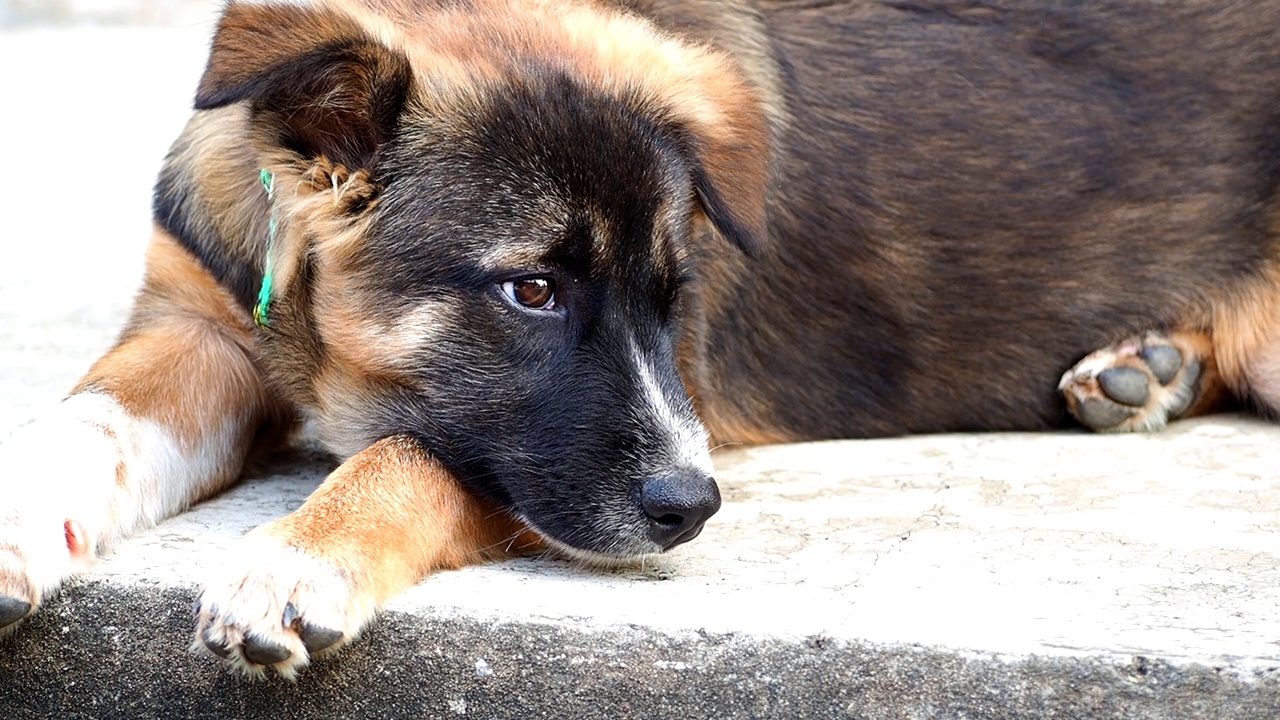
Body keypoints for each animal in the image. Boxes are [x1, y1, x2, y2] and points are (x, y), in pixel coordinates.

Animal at [2, 0, 1280, 676]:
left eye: (672, 294)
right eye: (530, 291)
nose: (692, 510)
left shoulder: (598, 435)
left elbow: (415, 451)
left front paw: (296, 559)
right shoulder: (201, 325)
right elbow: (84, 423)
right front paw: (18, 531)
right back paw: (1141, 369)